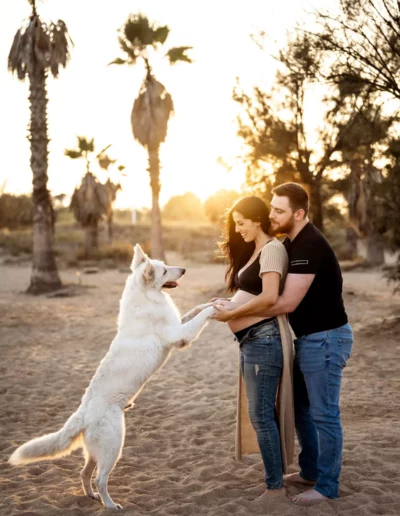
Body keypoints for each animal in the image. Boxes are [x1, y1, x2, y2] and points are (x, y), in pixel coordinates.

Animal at [8, 244, 216, 510]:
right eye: (164, 270)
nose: (184, 270)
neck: (145, 298)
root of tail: (83, 414)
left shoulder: (179, 325)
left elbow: (194, 311)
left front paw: (213, 302)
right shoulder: (180, 335)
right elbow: (201, 317)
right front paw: (217, 307)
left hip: (96, 452)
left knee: (84, 473)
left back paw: (92, 497)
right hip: (114, 447)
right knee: (100, 479)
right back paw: (110, 505)